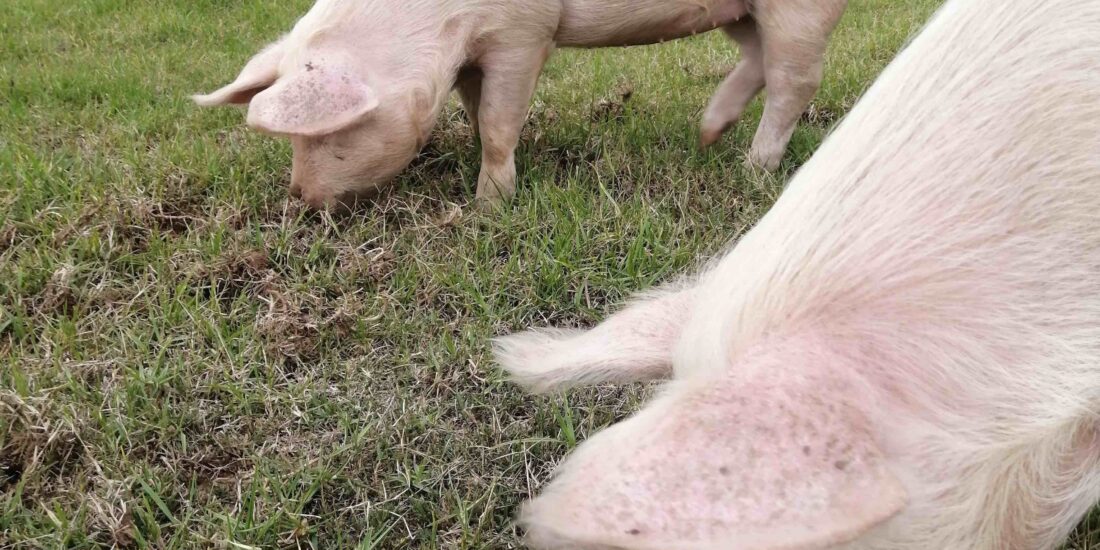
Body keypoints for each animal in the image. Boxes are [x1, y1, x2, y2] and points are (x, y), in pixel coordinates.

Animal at [192, 0, 848, 208]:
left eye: (325, 134)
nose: (300, 198)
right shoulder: (472, 55)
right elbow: (475, 110)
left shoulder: (522, 34)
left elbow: (500, 119)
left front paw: (490, 205)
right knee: (760, 60)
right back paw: (706, 136)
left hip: (800, 8)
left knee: (796, 80)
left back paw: (753, 170)